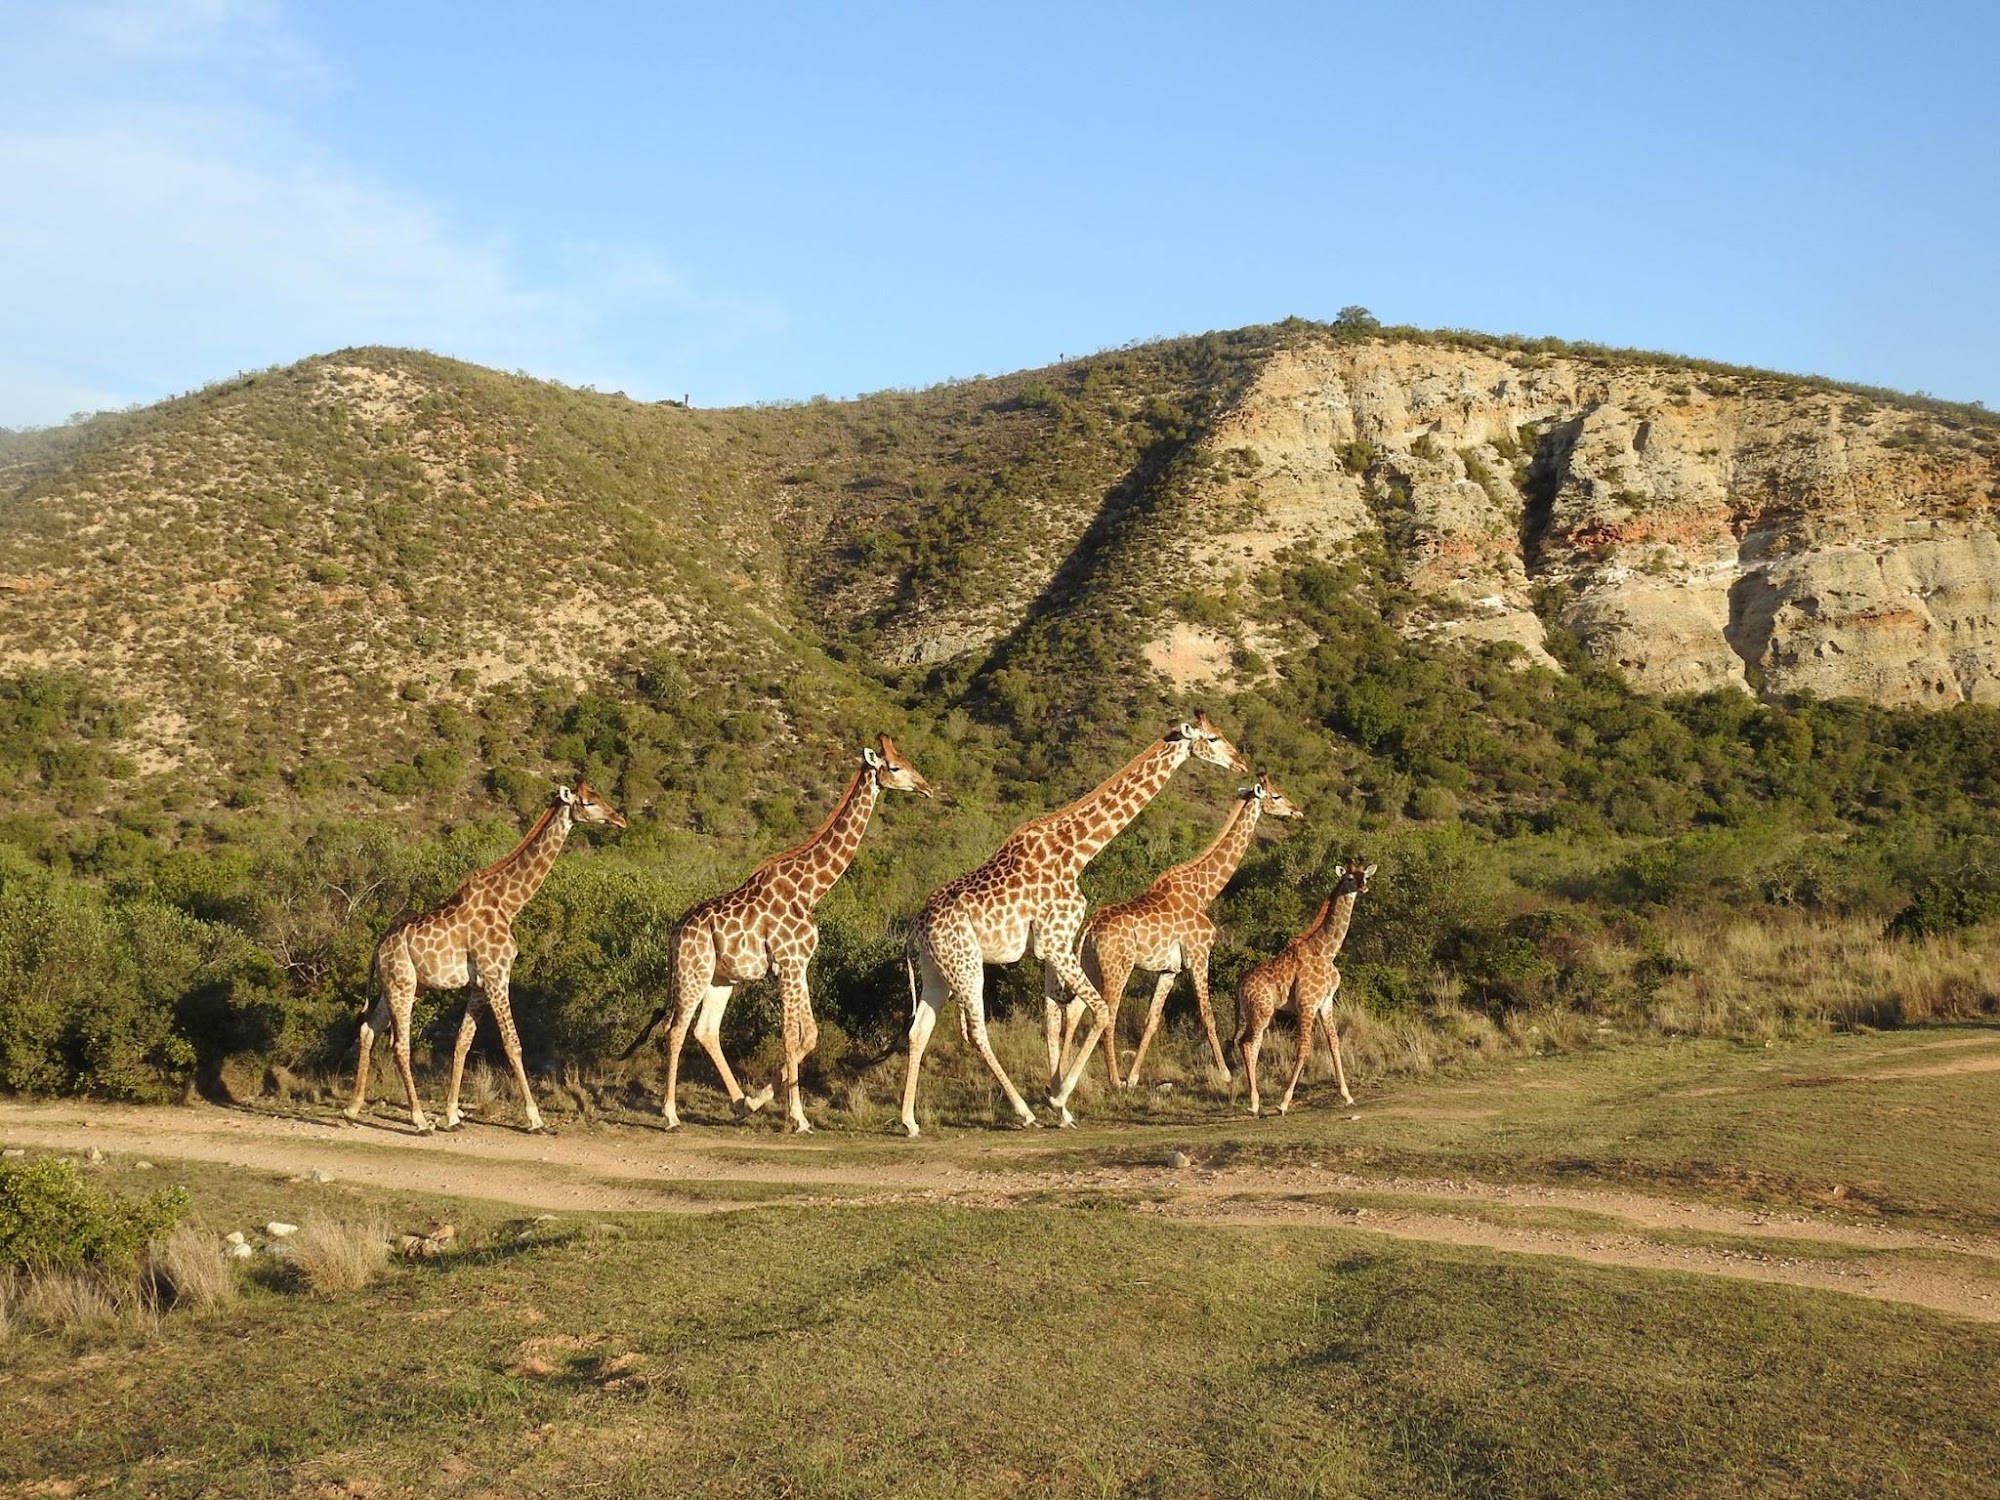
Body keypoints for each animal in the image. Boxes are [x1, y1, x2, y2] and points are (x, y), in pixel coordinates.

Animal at [344, 780, 624, 1136]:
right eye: (588, 802)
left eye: (600, 796)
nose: (620, 819)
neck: (508, 903)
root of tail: (378, 948)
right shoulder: (497, 975)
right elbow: (512, 1043)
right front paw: (535, 1119)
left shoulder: (479, 983)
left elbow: (463, 1041)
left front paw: (452, 1115)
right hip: (402, 985)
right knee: (399, 1044)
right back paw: (419, 1120)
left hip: (397, 986)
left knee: (368, 1030)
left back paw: (352, 1109)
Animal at [628, 736, 932, 1136]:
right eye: (895, 767)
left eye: (908, 760)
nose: (927, 787)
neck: (811, 889)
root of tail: (675, 932)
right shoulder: (787, 963)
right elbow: (791, 1035)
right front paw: (797, 1117)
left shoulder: (797, 965)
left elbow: (810, 1035)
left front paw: (758, 1101)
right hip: (693, 973)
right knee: (675, 1029)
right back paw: (671, 1115)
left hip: (721, 979)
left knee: (705, 1030)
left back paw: (738, 1104)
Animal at [900, 712, 1240, 1136]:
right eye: (1213, 738)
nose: (1240, 761)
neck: (1077, 852)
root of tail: (916, 927)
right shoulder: (1058, 942)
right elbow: (1100, 1011)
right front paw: (1059, 1098)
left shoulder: (1049, 948)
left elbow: (1052, 1020)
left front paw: (1059, 1104)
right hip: (965, 965)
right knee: (976, 1032)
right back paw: (1023, 1112)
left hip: (936, 970)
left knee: (918, 1031)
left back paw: (910, 1121)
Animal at [1056, 776, 1304, 1096]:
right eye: (1276, 795)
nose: (1297, 811)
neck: (1203, 891)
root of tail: (1090, 926)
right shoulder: (1199, 956)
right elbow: (1207, 1015)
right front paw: (1225, 1073)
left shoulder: (1169, 969)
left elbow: (1152, 1020)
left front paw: (1134, 1077)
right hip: (1117, 967)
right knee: (1107, 1015)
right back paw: (1112, 1078)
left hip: (1089, 963)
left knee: (1075, 1009)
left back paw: (1061, 1074)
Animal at [1232, 864, 1376, 1120]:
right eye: (1350, 878)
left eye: (1366, 876)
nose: (1363, 887)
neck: (1326, 951)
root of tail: (1239, 982)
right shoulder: (1306, 1003)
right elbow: (1304, 1048)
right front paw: (1283, 1103)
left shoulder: (1325, 1002)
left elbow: (1334, 1042)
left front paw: (1347, 1096)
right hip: (1261, 1011)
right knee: (1248, 1044)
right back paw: (1254, 1104)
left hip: (1258, 1013)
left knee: (1248, 1043)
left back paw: (1256, 1104)